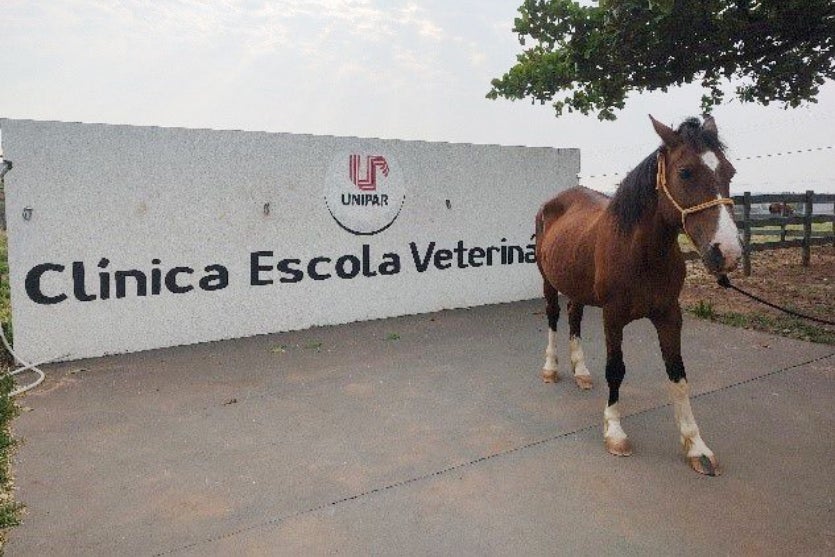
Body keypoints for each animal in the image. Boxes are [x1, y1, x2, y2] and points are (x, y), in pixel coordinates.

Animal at [535, 115, 742, 476]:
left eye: (729, 171)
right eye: (685, 172)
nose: (727, 253)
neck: (640, 251)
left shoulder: (669, 315)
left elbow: (678, 375)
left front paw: (696, 446)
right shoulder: (613, 316)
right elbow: (615, 369)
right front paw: (615, 433)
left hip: (578, 287)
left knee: (574, 315)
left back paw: (581, 372)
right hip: (548, 282)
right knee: (553, 317)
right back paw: (551, 368)